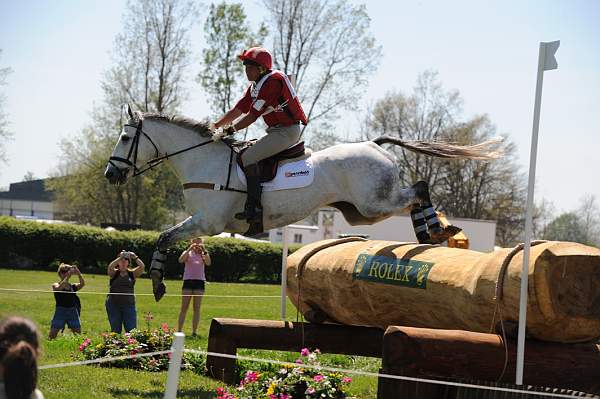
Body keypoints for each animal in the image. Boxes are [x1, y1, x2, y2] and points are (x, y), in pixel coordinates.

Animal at [104, 106, 502, 300]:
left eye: (124, 138)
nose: (110, 174)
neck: (201, 159)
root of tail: (374, 144)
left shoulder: (207, 223)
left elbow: (164, 237)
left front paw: (157, 282)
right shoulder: (201, 222)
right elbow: (164, 236)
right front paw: (157, 281)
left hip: (374, 203)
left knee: (418, 188)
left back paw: (436, 231)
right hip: (361, 213)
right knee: (411, 200)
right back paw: (430, 234)